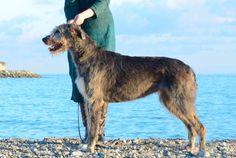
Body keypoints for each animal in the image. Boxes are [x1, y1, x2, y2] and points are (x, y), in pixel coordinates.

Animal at [42, 24, 206, 155]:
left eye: (57, 31)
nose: (44, 39)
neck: (87, 55)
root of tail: (189, 69)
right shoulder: (88, 100)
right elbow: (89, 124)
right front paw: (86, 145)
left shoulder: (95, 100)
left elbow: (94, 127)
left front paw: (90, 147)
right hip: (170, 101)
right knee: (190, 125)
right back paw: (190, 146)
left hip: (181, 100)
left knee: (200, 126)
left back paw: (202, 150)